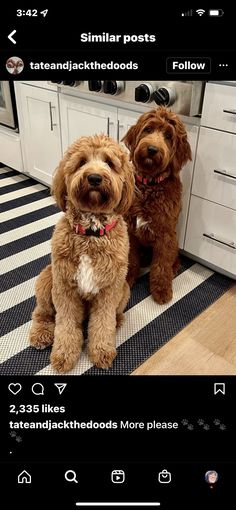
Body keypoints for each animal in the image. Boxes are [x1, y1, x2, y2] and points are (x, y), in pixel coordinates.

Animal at [28, 133, 134, 372]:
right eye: (82, 162)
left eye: (109, 163)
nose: (94, 177)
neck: (91, 234)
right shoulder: (64, 288)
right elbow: (66, 325)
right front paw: (64, 355)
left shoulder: (108, 290)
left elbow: (102, 323)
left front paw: (102, 352)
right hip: (47, 279)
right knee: (42, 312)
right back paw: (41, 334)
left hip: (124, 289)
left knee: (113, 314)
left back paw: (118, 320)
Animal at [123, 104, 192, 302]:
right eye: (148, 129)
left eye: (169, 135)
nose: (152, 149)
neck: (150, 185)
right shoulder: (131, 231)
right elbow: (131, 259)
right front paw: (128, 279)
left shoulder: (165, 235)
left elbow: (161, 265)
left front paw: (161, 290)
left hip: (174, 241)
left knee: (171, 260)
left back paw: (173, 268)